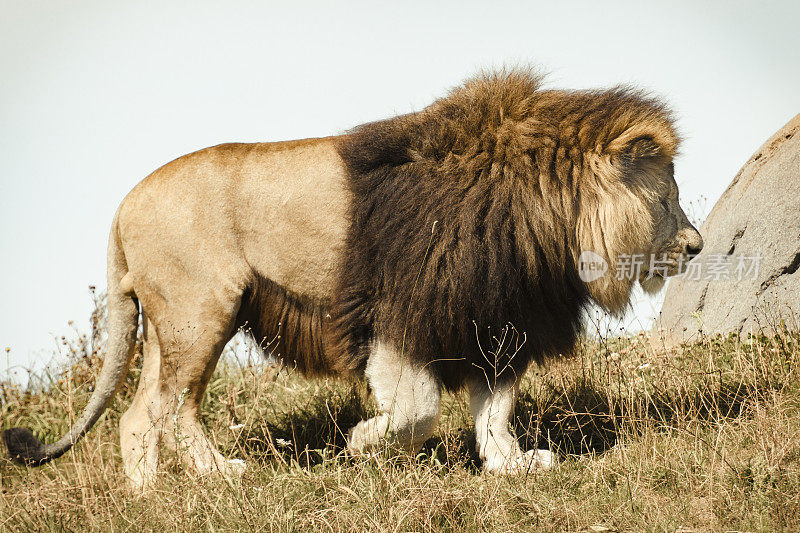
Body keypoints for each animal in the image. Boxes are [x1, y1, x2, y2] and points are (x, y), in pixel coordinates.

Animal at [3, 68, 704, 488]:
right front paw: (368, 443)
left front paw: (511, 466)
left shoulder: (492, 316)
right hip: (199, 315)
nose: (697, 246)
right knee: (163, 410)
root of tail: (124, 204)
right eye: (669, 198)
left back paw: (178, 488)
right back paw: (191, 487)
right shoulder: (403, 312)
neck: (547, 212)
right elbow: (417, 409)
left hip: (173, 327)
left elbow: (495, 408)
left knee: (144, 414)